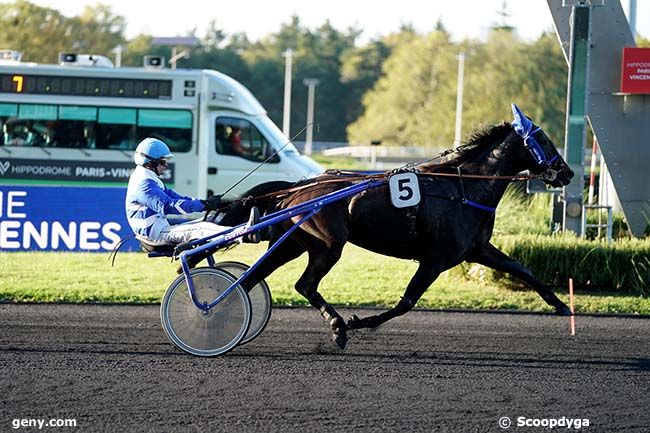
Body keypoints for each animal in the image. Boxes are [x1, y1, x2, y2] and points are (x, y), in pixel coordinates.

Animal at [219, 104, 572, 348]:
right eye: (543, 139)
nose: (567, 173)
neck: (464, 189)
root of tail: (298, 189)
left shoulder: (477, 250)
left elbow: (523, 270)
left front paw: (562, 306)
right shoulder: (435, 260)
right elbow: (406, 303)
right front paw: (359, 321)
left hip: (293, 244)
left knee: (252, 278)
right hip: (328, 245)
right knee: (305, 285)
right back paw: (337, 327)